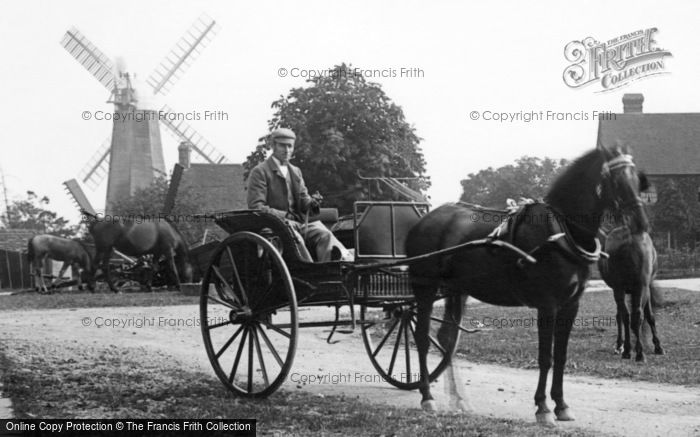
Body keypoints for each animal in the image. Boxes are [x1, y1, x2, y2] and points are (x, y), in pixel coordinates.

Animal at [600, 227, 664, 360]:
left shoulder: (619, 289)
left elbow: (619, 315)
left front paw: (620, 345)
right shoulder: (644, 288)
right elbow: (649, 316)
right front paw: (657, 346)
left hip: (621, 288)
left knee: (627, 316)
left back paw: (629, 351)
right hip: (640, 286)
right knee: (637, 315)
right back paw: (639, 353)